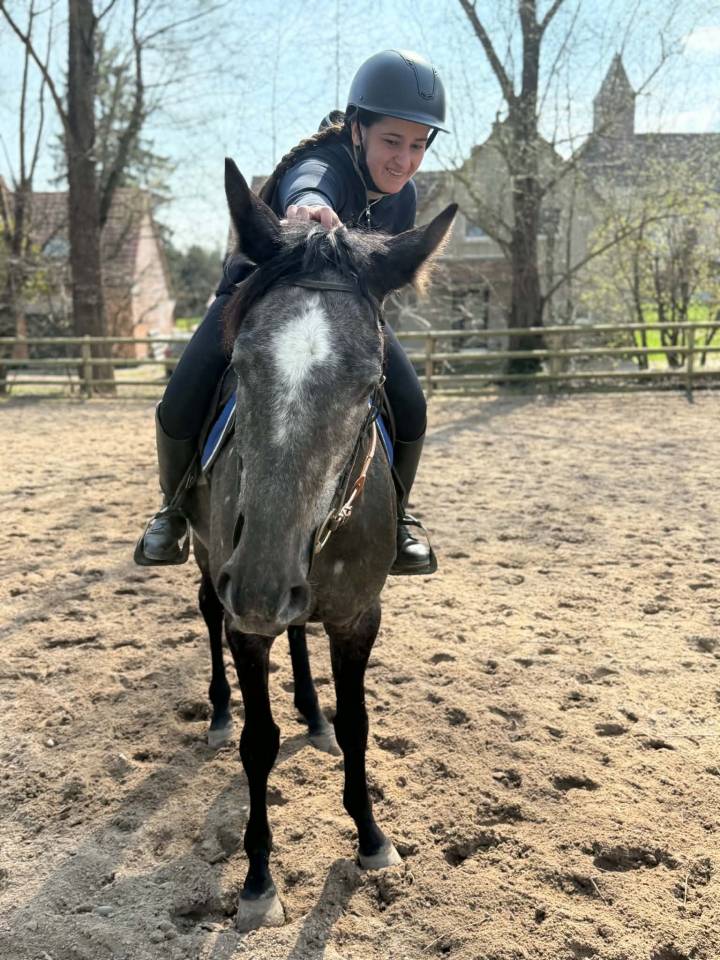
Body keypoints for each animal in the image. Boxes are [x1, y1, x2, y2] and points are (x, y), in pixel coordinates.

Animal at [184, 158, 456, 931]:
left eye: (370, 384)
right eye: (239, 363)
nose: (260, 586)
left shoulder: (359, 614)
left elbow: (361, 724)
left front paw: (370, 837)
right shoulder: (246, 616)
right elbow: (258, 741)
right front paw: (257, 880)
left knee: (300, 632)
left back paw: (312, 709)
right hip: (213, 563)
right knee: (209, 616)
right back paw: (220, 711)